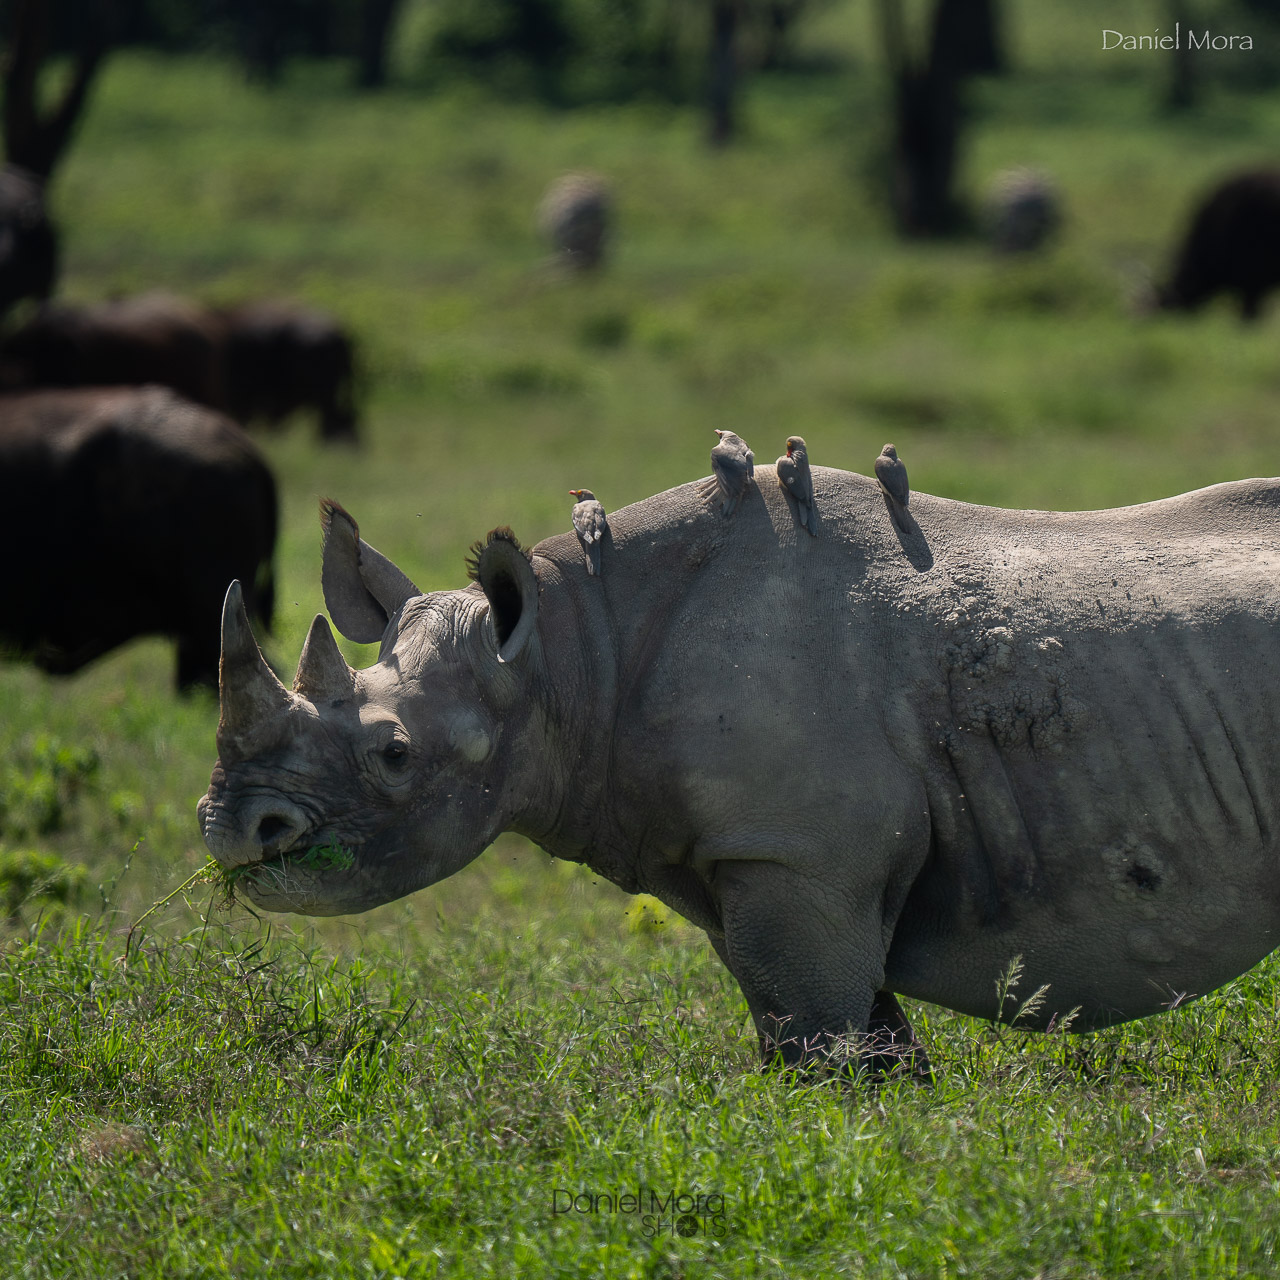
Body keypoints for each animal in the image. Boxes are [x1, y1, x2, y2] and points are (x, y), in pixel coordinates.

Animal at [199, 468, 1280, 1071]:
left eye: (393, 754)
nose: (231, 827)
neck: (570, 659)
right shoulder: (745, 862)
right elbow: (840, 1039)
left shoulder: (798, 855)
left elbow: (829, 1048)